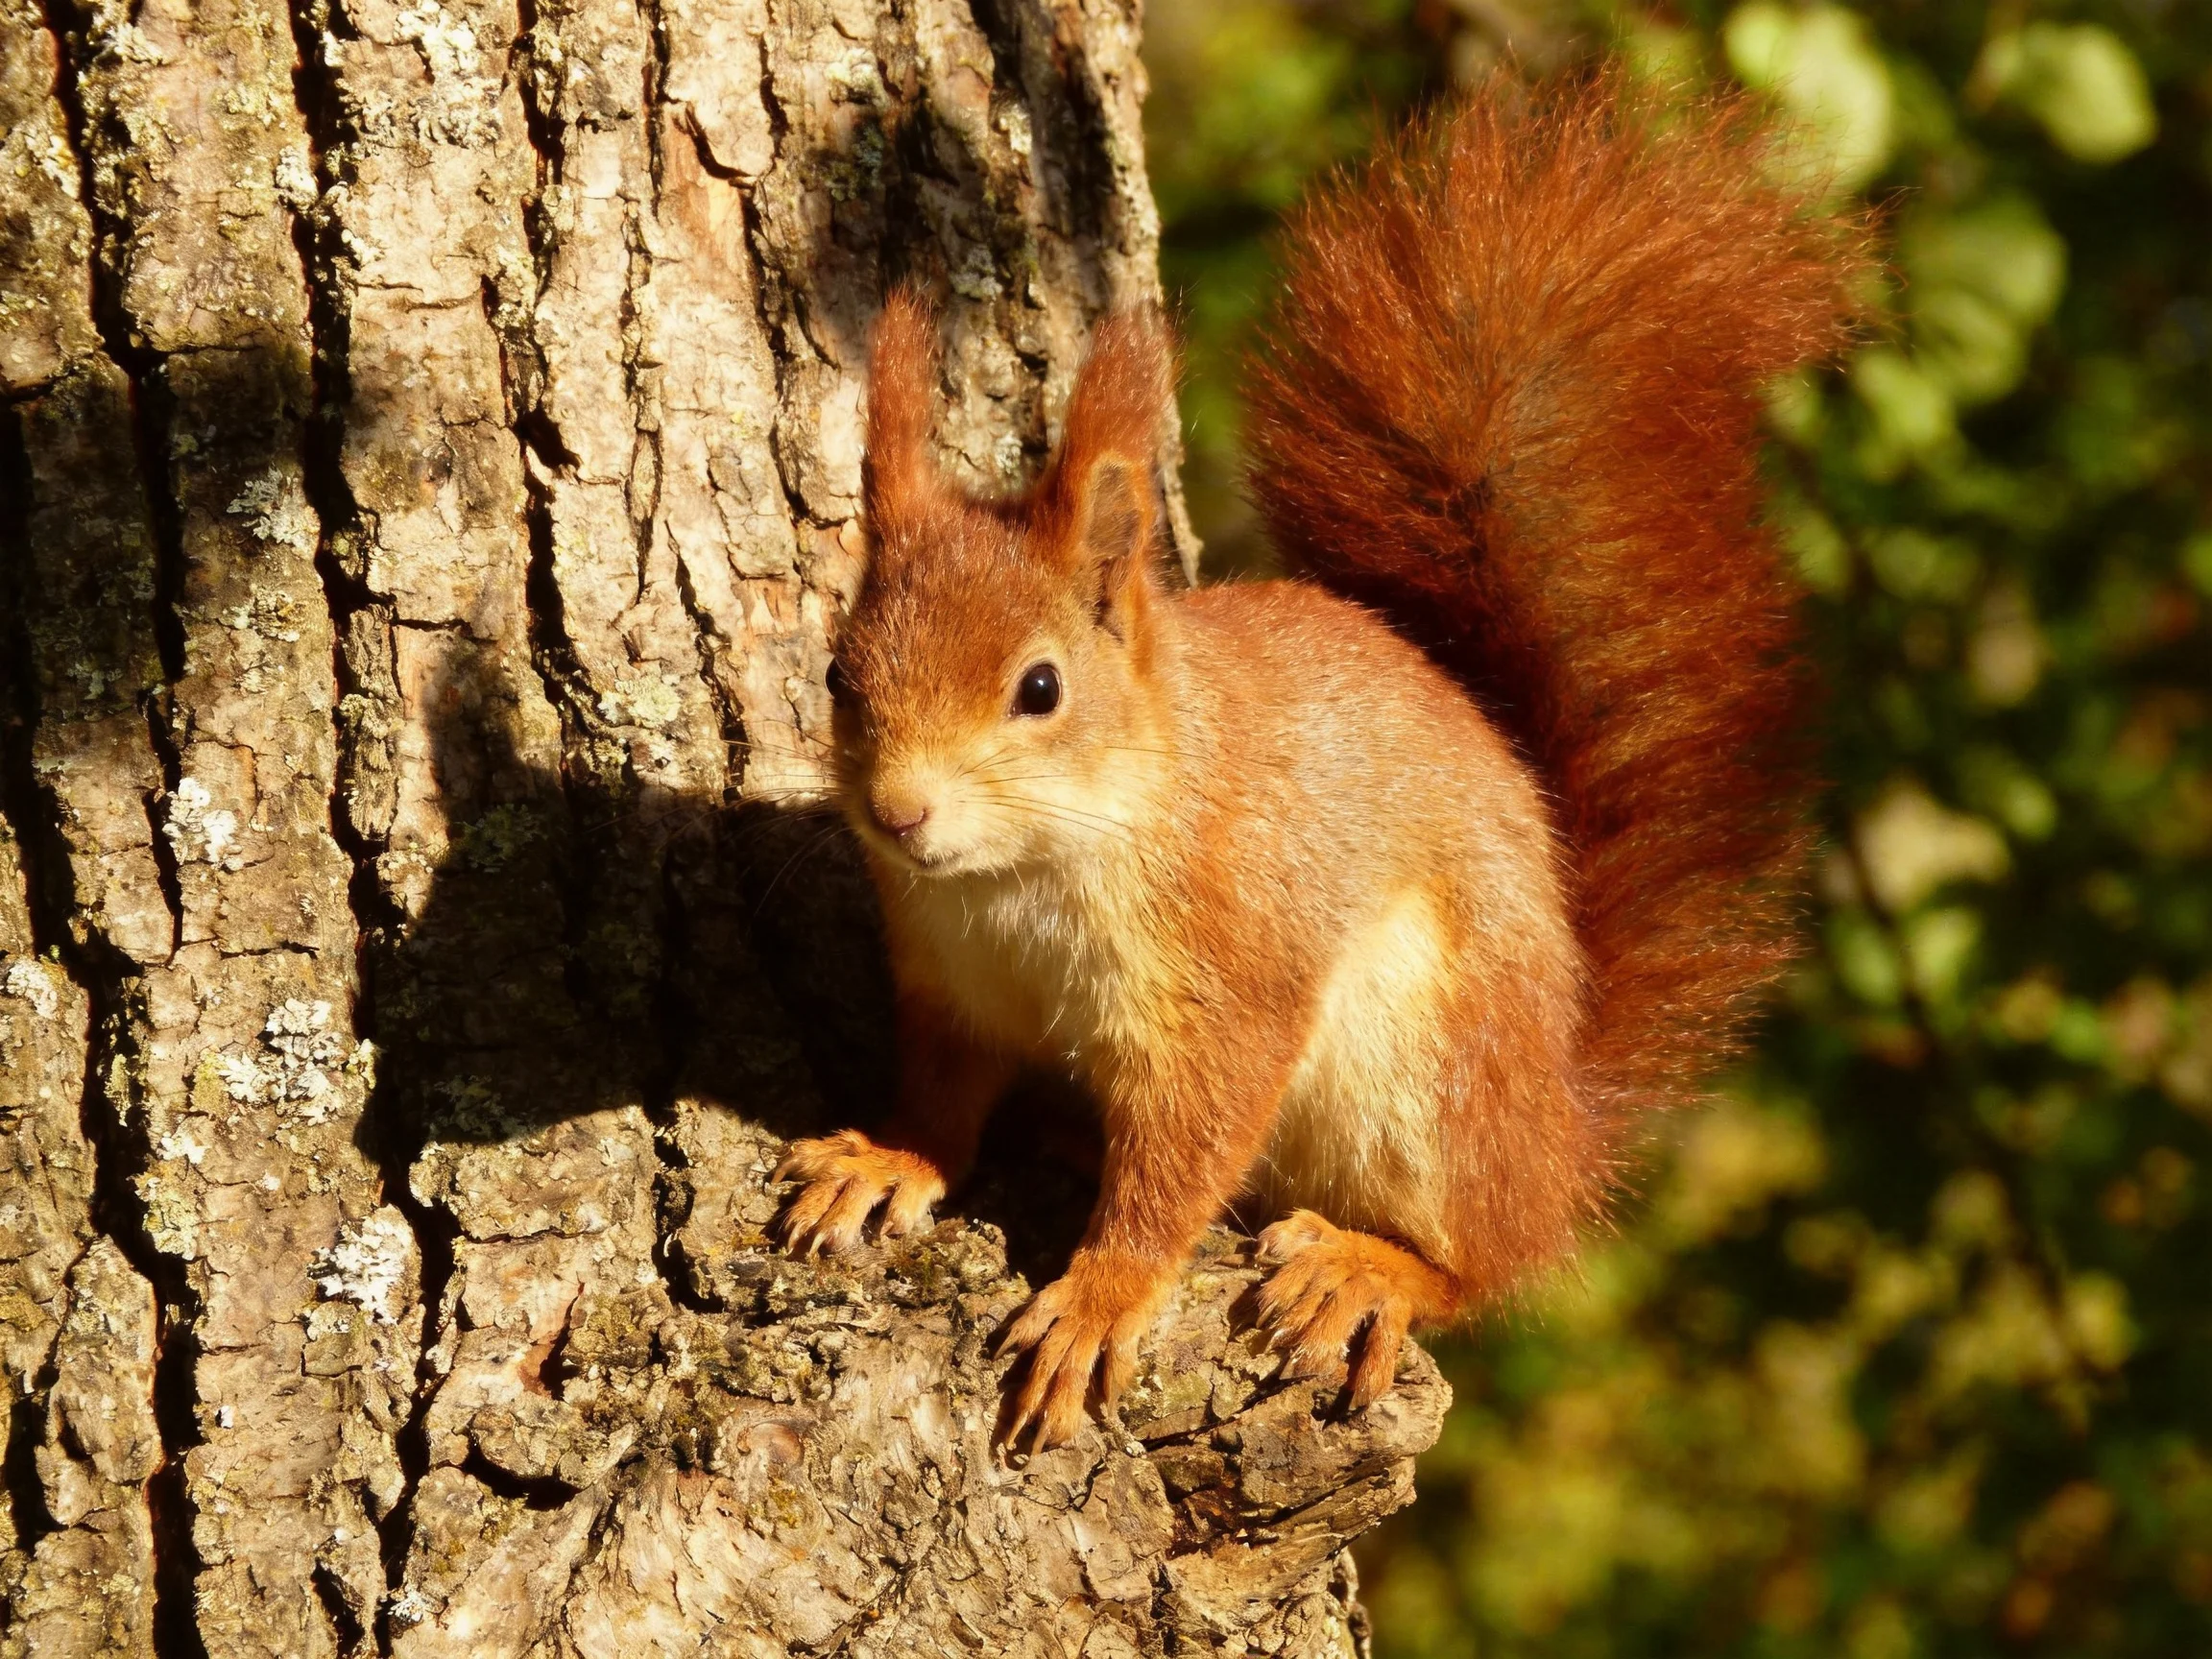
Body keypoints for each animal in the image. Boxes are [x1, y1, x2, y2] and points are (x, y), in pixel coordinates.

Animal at [773, 72, 1865, 1451]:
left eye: (1040, 689)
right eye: (837, 675)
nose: (899, 813)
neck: (1025, 877)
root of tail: (1562, 1123)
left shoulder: (1232, 974)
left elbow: (1184, 1153)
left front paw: (1104, 1294)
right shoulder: (948, 983)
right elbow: (942, 1093)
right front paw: (891, 1157)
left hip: (1437, 1073)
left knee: (1487, 1262)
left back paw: (1372, 1268)